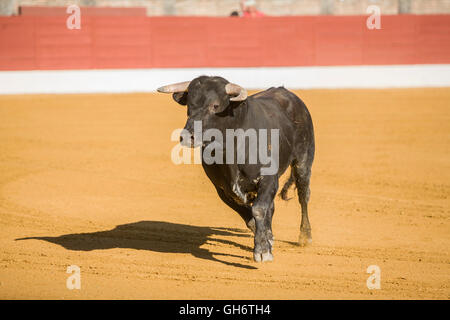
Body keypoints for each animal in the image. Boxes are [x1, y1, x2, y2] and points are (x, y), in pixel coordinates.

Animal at [156, 75, 314, 262]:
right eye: (189, 106)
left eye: (215, 105)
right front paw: (266, 239)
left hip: (303, 161)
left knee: (303, 195)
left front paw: (263, 251)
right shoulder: (223, 189)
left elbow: (259, 209)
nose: (188, 137)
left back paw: (305, 236)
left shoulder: (268, 179)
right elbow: (250, 215)